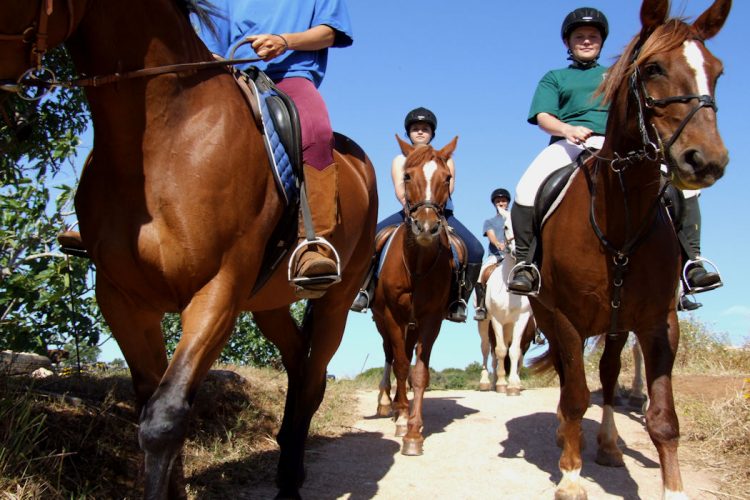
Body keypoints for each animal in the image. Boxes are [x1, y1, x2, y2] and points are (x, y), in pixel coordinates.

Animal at [0, 1, 376, 498]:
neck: (166, 137)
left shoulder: (218, 291)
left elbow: (164, 418)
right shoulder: (122, 299)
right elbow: (149, 406)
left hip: (334, 301)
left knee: (313, 381)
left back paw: (290, 483)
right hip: (269, 304)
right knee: (298, 364)